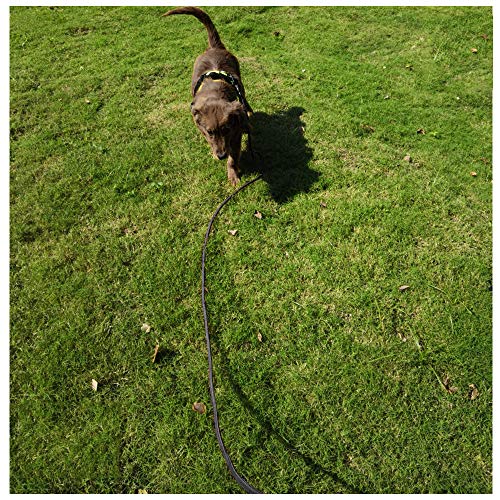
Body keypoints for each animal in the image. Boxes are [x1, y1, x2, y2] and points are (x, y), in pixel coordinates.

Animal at [163, 6, 252, 186]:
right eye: (210, 132)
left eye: (226, 129)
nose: (221, 155)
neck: (214, 92)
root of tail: (213, 47)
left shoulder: (236, 134)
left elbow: (233, 157)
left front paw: (233, 175)